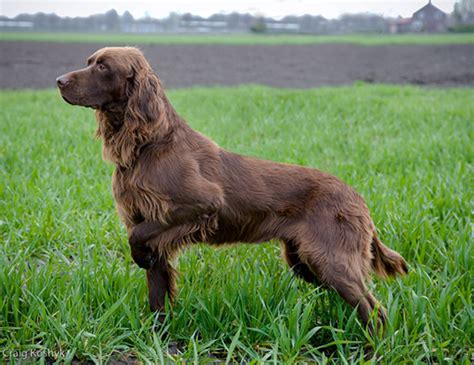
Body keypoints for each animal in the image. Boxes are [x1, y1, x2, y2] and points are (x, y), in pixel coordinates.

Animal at [56, 47, 408, 332]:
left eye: (103, 67)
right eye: (89, 62)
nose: (58, 80)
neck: (148, 145)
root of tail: (357, 197)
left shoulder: (200, 205)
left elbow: (139, 237)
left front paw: (141, 257)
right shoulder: (146, 220)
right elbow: (157, 295)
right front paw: (158, 338)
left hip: (329, 259)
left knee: (374, 310)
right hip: (303, 261)